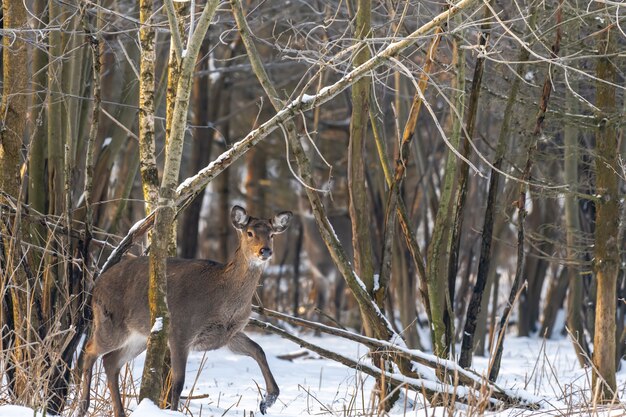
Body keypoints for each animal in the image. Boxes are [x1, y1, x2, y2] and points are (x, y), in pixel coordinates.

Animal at [77, 205, 292, 416]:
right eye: (249, 233)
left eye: (272, 234)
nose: (265, 251)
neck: (222, 301)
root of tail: (95, 285)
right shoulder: (181, 330)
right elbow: (178, 384)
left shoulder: (229, 334)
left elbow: (258, 350)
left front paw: (267, 401)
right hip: (110, 323)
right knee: (89, 349)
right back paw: (83, 405)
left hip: (139, 336)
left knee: (110, 361)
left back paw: (117, 411)